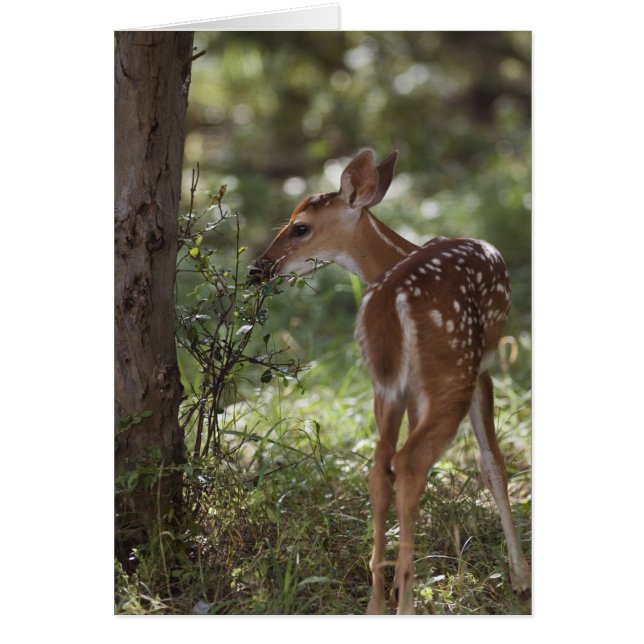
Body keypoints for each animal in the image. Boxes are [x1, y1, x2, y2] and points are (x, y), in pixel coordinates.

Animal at [252, 149, 531, 614]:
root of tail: (390, 300)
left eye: (299, 227)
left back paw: (379, 603)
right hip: (451, 370)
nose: (258, 270)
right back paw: (405, 604)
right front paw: (521, 579)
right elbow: (493, 463)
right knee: (411, 461)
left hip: (388, 383)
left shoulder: (413, 384)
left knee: (381, 467)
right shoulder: (480, 369)